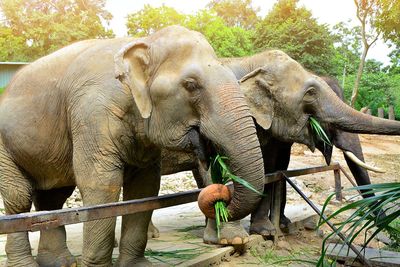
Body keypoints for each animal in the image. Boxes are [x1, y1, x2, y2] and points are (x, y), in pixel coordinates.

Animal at [0, 25, 266, 267]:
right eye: (191, 85)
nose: (222, 194)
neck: (144, 42)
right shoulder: (92, 113)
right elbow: (102, 183)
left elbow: (144, 187)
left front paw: (136, 265)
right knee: (19, 198)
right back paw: (26, 263)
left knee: (52, 198)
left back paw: (61, 262)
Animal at [157, 49, 400, 246]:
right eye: (311, 93)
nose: (388, 236)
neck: (253, 63)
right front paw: (234, 239)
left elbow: (271, 169)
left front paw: (268, 230)